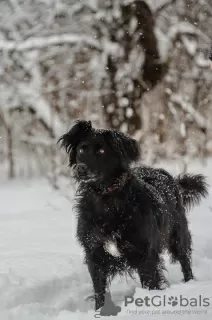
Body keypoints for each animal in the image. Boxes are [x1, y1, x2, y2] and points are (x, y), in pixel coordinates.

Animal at [58, 120, 208, 316]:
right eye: (82, 149)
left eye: (101, 150)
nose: (81, 168)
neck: (106, 199)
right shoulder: (94, 254)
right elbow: (99, 291)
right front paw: (100, 311)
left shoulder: (146, 254)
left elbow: (151, 283)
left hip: (178, 236)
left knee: (185, 260)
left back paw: (190, 282)